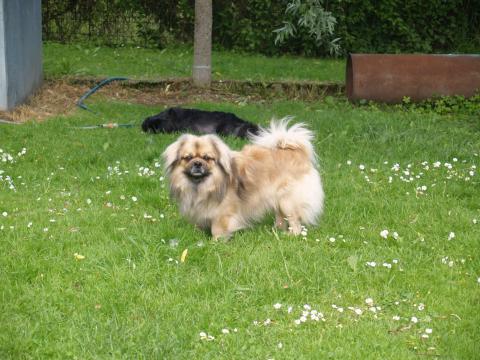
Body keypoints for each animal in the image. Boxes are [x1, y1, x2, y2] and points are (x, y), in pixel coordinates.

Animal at [163, 119, 324, 240]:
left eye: (207, 158)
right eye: (188, 158)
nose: (197, 163)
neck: (202, 185)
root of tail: (297, 152)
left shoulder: (223, 213)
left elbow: (217, 229)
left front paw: (215, 242)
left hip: (288, 200)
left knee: (294, 221)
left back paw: (290, 235)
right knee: (281, 217)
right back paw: (276, 231)